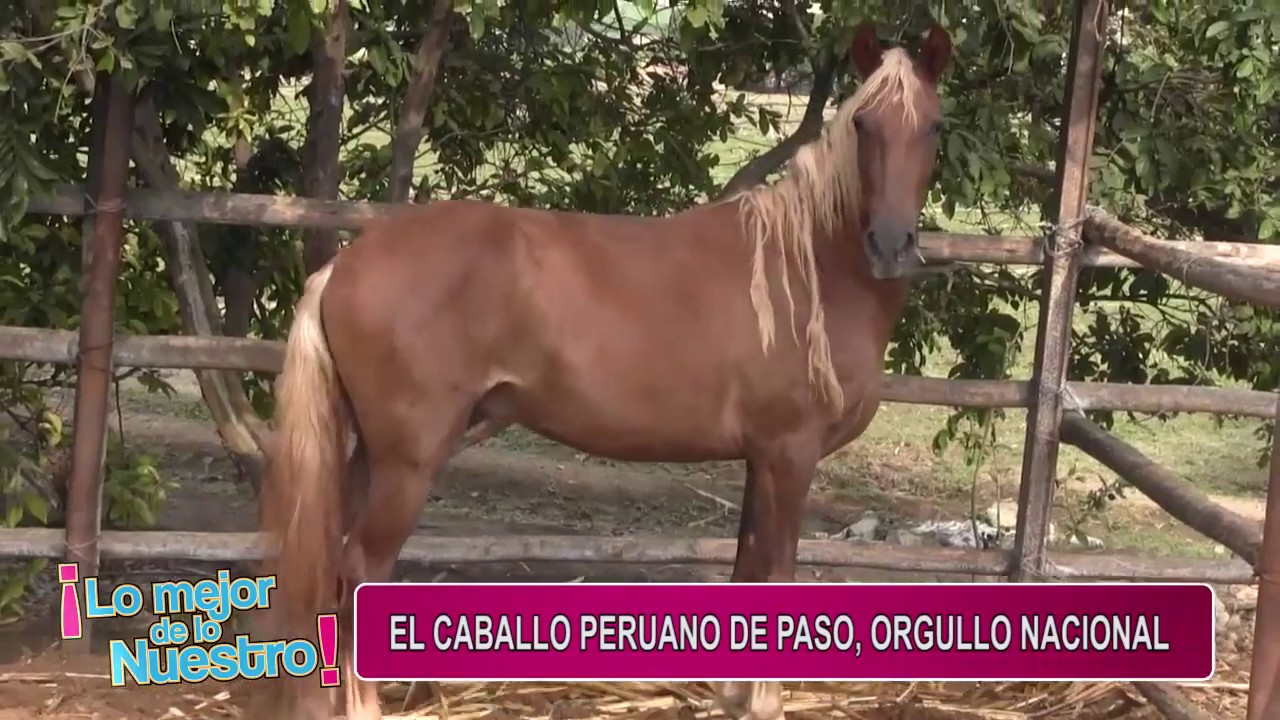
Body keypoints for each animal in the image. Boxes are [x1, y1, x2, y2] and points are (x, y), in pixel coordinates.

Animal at [258, 19, 952, 720]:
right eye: (863, 123)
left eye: (933, 126)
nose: (890, 246)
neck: (806, 267)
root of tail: (343, 266)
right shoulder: (790, 453)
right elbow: (776, 573)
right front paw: (762, 702)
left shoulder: (761, 458)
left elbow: (746, 566)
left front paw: (733, 695)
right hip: (408, 460)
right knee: (361, 567)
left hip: (368, 452)